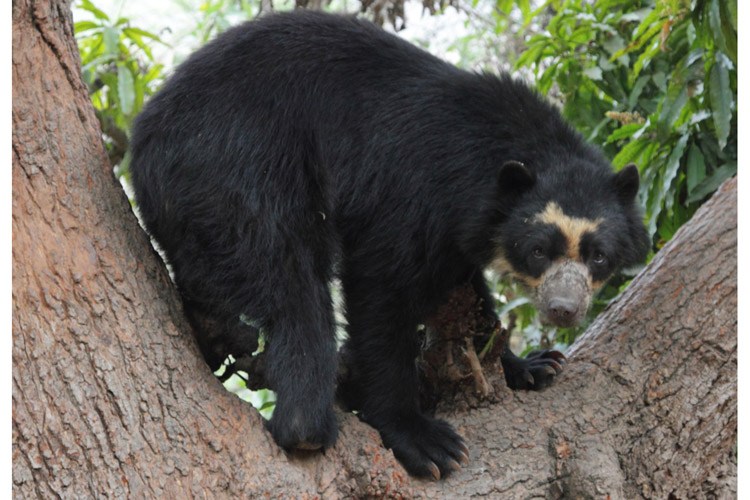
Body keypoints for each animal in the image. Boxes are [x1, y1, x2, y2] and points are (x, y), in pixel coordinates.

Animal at [129, 9, 652, 480]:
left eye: (598, 255)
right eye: (539, 250)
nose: (563, 309)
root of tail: (143, 139)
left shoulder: (456, 232)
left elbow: (464, 291)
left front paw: (532, 366)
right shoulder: (411, 190)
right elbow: (381, 286)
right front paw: (425, 440)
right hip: (234, 168)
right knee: (291, 280)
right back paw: (307, 426)